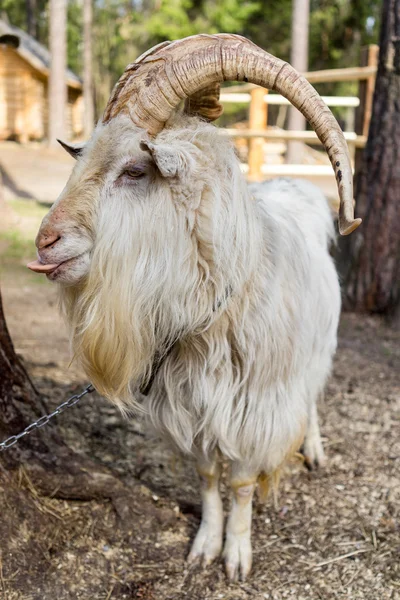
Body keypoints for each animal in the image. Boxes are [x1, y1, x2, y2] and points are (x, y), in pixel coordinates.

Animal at [27, 35, 360, 580]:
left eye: (134, 170)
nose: (45, 242)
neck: (216, 313)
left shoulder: (254, 408)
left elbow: (241, 482)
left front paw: (237, 555)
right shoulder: (187, 407)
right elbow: (206, 477)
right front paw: (204, 545)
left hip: (317, 348)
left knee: (312, 396)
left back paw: (312, 449)